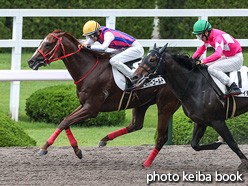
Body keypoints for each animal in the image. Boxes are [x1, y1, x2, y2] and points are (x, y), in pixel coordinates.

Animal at [26, 30, 180, 167]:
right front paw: (76, 150)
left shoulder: (91, 108)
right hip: (142, 102)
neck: (88, 69)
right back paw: (104, 139)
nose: (31, 61)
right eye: (40, 42)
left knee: (161, 137)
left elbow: (65, 121)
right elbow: (66, 121)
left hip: (165, 105)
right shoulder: (84, 104)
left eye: (48, 44)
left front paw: (44, 148)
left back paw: (147, 162)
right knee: (136, 125)